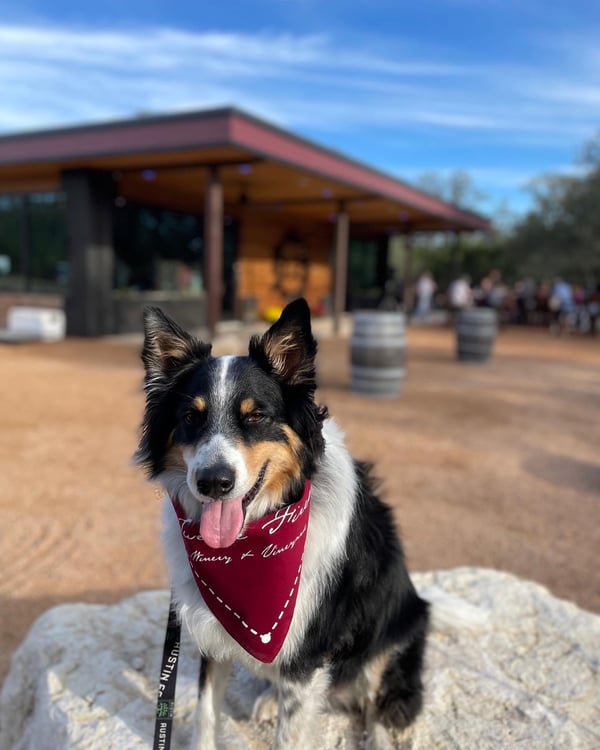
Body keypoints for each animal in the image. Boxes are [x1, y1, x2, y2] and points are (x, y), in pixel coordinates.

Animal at [137, 300, 426, 750]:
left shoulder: (308, 653)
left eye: (256, 416)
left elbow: (289, 736)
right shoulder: (211, 631)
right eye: (190, 417)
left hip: (394, 635)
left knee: (376, 705)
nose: (213, 482)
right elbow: (205, 713)